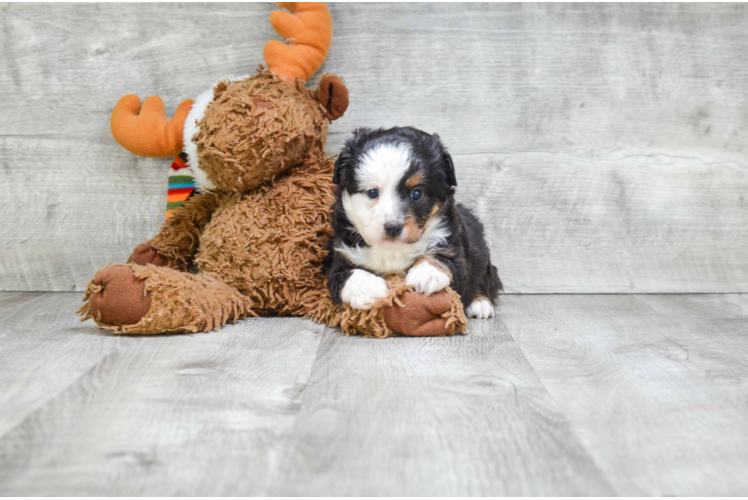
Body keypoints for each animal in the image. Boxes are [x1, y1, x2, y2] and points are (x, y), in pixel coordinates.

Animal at [322, 127, 502, 318]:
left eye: (416, 193)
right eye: (372, 192)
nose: (393, 227)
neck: (393, 250)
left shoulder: (455, 251)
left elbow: (441, 260)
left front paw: (426, 274)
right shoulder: (340, 255)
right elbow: (347, 275)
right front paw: (368, 289)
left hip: (481, 250)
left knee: (487, 277)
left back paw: (480, 303)